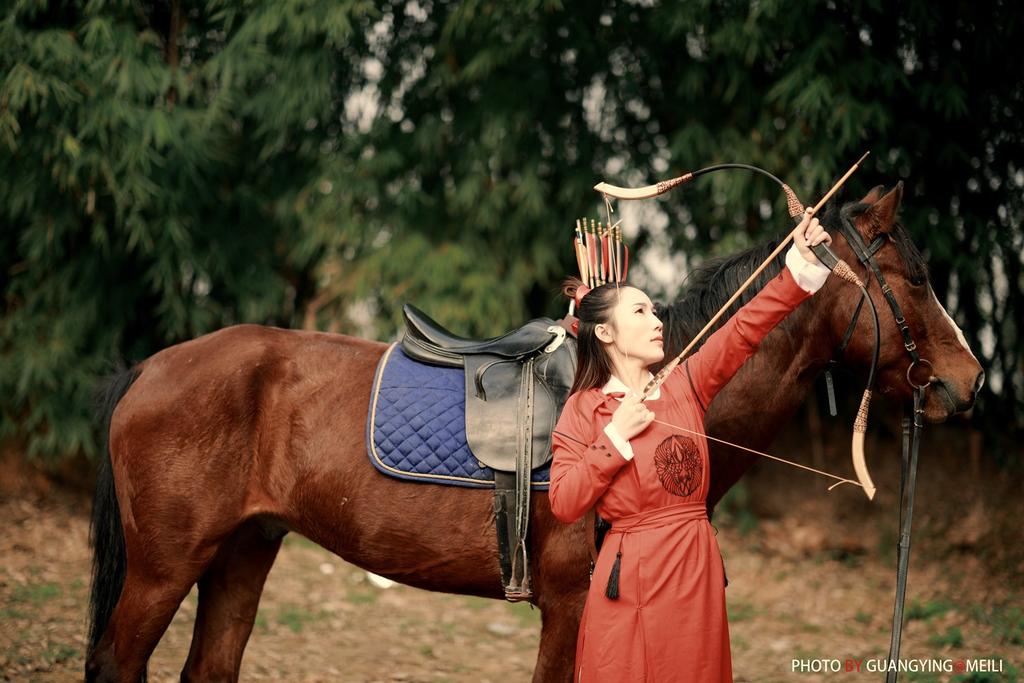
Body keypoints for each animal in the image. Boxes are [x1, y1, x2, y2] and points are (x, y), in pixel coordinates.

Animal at [86, 184, 983, 679]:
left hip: (245, 549)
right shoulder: (569, 607)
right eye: (913, 278)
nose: (969, 381)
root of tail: (150, 369)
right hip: (165, 567)